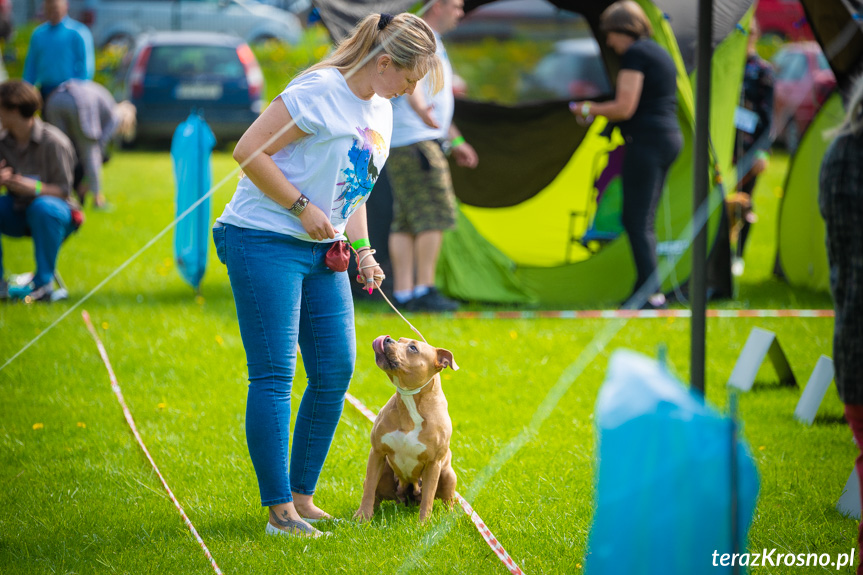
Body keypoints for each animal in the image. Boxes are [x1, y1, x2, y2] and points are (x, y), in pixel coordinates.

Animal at [352, 336, 460, 524]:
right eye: (400, 339)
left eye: (413, 348)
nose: (387, 338)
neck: (410, 401)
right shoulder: (377, 453)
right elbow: (369, 488)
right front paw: (362, 517)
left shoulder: (433, 464)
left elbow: (428, 498)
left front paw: (423, 524)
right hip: (385, 471)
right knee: (375, 495)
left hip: (447, 474)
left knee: (448, 501)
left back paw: (449, 518)